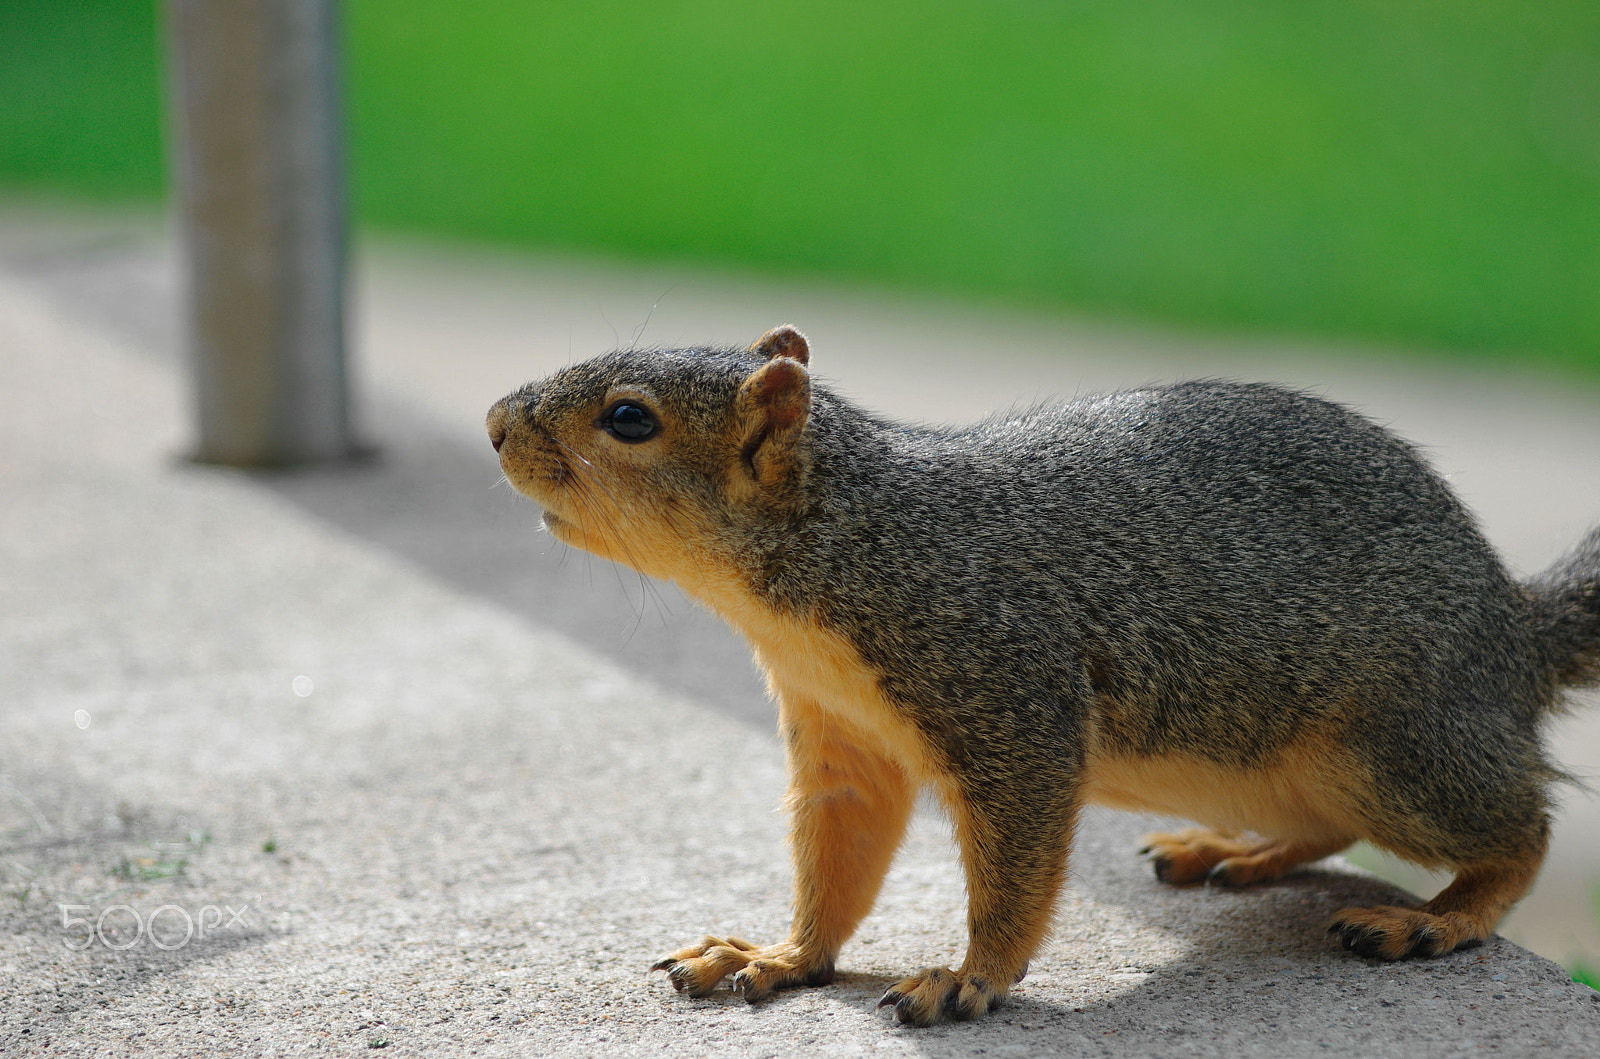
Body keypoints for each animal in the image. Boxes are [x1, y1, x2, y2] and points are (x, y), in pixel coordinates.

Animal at [483, 326, 1600, 1030]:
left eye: (630, 420)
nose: (492, 422)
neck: (845, 543)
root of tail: (1513, 630)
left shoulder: (1006, 691)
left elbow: (1014, 860)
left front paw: (968, 979)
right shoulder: (844, 736)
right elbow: (837, 858)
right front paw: (782, 956)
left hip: (1392, 749)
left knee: (1522, 825)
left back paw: (1437, 916)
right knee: (1327, 825)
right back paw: (1232, 850)